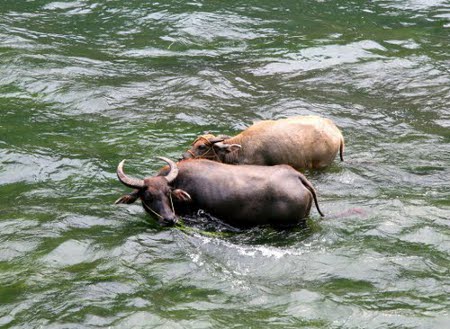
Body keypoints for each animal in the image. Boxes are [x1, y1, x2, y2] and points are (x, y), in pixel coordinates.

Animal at [181, 114, 342, 169]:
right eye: (193, 144)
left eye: (201, 146)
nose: (183, 157)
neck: (241, 149)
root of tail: (338, 133)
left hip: (321, 164)